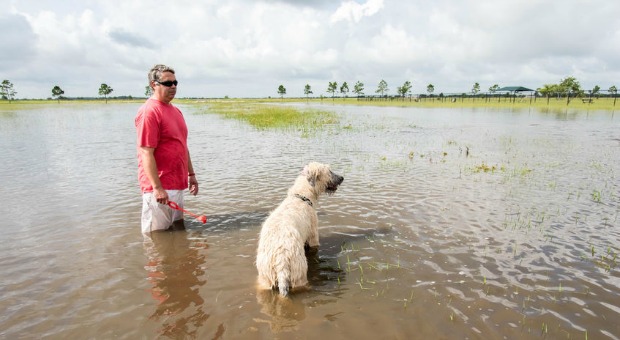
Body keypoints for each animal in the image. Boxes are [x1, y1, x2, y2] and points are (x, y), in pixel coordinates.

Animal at [256, 162, 344, 294]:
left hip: (266, 274)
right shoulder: (313, 232)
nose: (342, 178)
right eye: (329, 171)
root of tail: (281, 260)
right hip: (298, 269)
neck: (302, 196)